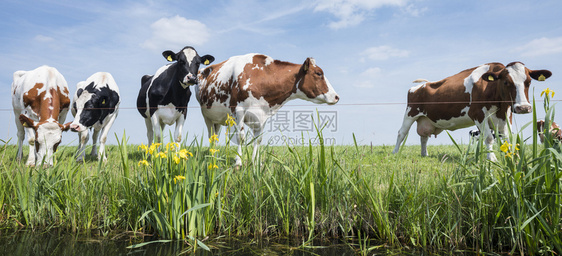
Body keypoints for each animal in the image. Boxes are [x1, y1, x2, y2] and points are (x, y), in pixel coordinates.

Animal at [195, 53, 340, 166]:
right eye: (319, 73)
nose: (336, 97)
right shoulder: (238, 110)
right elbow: (241, 137)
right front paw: (238, 162)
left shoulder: (262, 115)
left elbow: (258, 140)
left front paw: (255, 163)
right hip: (207, 116)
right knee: (211, 137)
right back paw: (212, 157)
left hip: (218, 119)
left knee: (215, 135)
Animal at [392, 61, 548, 160]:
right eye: (506, 82)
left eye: (528, 82)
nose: (524, 107)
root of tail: (423, 84)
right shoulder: (478, 114)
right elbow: (489, 137)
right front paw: (492, 158)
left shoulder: (506, 115)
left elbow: (508, 138)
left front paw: (512, 156)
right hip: (410, 113)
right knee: (401, 133)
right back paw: (395, 152)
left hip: (426, 119)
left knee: (424, 137)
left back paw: (425, 154)